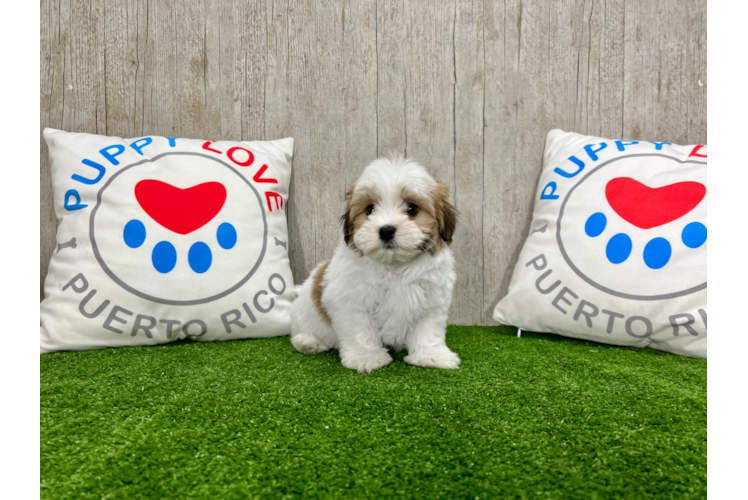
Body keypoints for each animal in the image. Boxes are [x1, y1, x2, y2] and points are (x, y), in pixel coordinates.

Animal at [290, 156, 458, 372]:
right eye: (370, 209)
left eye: (412, 208)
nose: (386, 230)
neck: (394, 265)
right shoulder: (351, 300)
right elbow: (360, 330)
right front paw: (367, 357)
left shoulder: (432, 300)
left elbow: (427, 330)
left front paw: (431, 356)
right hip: (305, 313)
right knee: (299, 331)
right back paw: (309, 342)